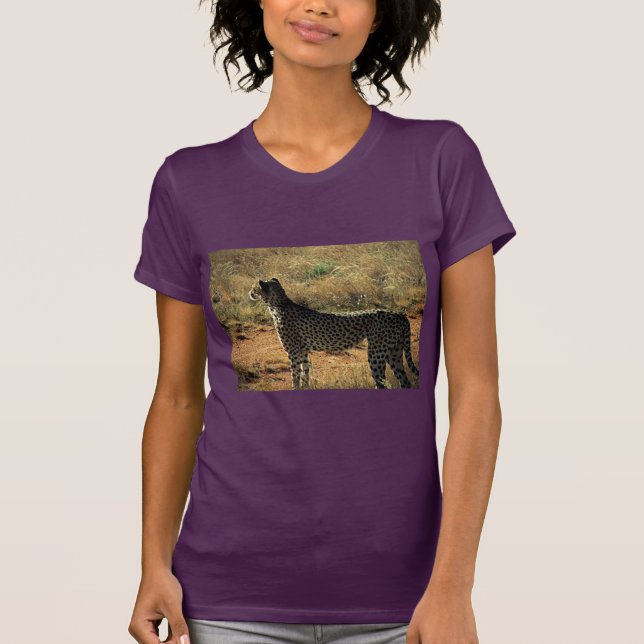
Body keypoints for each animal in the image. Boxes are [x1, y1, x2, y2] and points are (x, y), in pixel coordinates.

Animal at [248, 277, 419, 390]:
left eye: (254, 287)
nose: (249, 292)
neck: (278, 304)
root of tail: (399, 314)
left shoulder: (294, 352)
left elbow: (295, 375)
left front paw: (295, 388)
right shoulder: (302, 352)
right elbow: (305, 374)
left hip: (376, 353)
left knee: (382, 382)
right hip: (394, 352)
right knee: (404, 381)